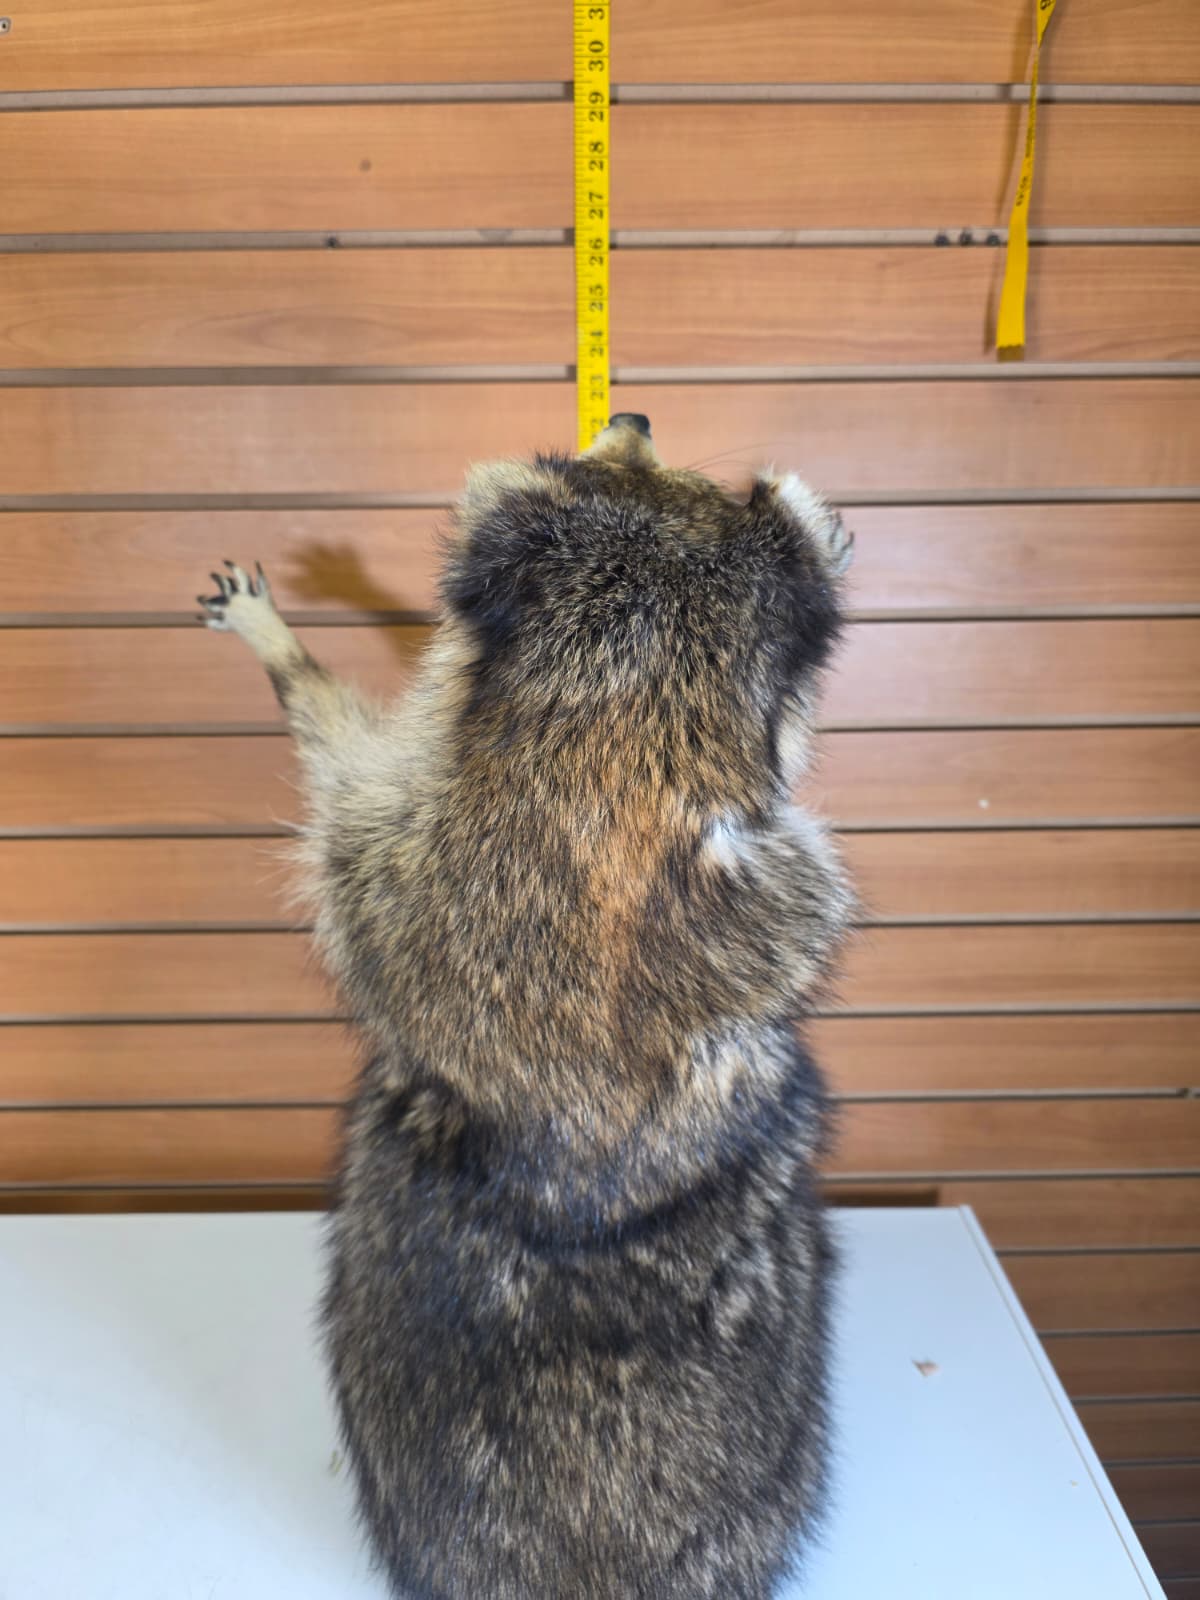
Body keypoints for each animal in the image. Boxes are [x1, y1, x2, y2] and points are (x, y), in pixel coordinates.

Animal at [199, 413, 855, 1599]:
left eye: (627, 461)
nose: (633, 416)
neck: (623, 749)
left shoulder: (393, 849)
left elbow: (337, 760)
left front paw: (285, 652)